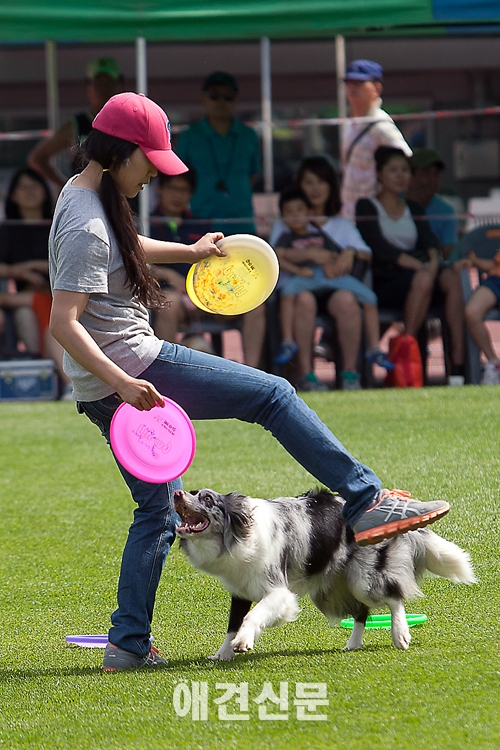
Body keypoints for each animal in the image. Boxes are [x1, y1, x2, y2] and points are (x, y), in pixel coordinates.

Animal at [174, 490, 474, 660]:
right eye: (191, 491)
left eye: (207, 499)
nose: (176, 493)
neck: (240, 532)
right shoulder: (239, 589)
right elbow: (232, 624)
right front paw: (222, 653)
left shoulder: (278, 591)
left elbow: (253, 616)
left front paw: (243, 642)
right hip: (331, 589)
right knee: (362, 611)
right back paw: (353, 644)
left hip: (363, 578)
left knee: (392, 596)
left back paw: (400, 635)